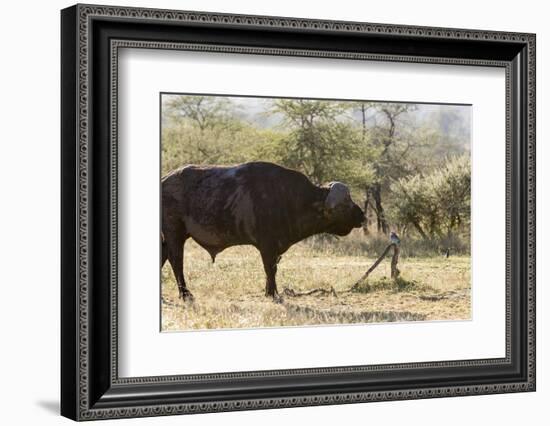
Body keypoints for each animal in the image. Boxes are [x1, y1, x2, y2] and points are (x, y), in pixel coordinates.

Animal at [161, 161, 366, 302]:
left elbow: (271, 269)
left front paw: (269, 292)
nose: (362, 216)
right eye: (345, 205)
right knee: (176, 261)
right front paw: (273, 294)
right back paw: (185, 294)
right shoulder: (267, 245)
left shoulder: (273, 248)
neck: (292, 199)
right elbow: (270, 268)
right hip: (174, 233)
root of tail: (163, 181)